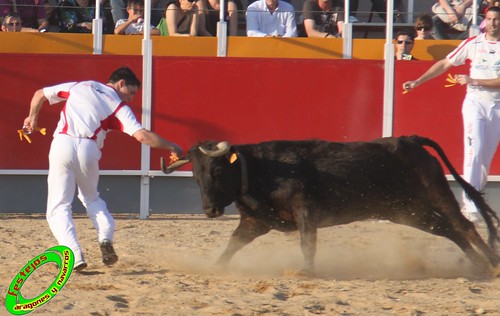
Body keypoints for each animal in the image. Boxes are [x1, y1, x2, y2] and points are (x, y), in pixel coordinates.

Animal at [162, 136, 500, 276]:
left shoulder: (305, 211)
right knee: (448, 230)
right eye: (195, 175)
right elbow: (233, 244)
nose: (210, 211)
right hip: (409, 211)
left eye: (216, 171)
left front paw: (306, 271)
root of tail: (409, 140)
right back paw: (477, 265)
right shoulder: (254, 223)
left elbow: (307, 242)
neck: (259, 169)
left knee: (463, 226)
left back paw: (492, 262)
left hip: (434, 191)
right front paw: (215, 266)